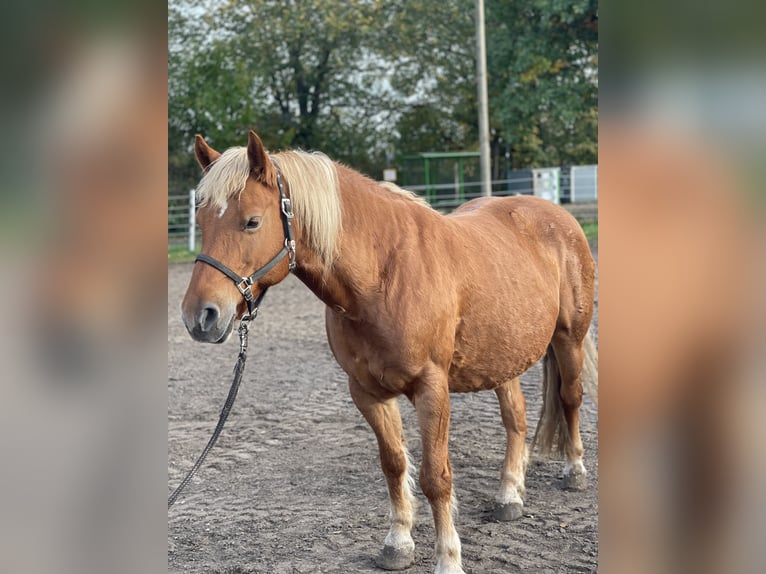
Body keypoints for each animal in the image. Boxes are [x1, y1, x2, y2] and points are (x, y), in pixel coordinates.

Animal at [182, 132, 600, 574]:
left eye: (252, 222)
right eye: (201, 221)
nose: (200, 316)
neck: (382, 275)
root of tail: (558, 216)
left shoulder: (432, 389)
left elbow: (436, 476)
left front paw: (448, 558)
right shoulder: (368, 392)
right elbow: (394, 464)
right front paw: (398, 543)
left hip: (569, 339)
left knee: (570, 398)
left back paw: (574, 471)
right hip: (503, 357)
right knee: (516, 419)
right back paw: (509, 494)